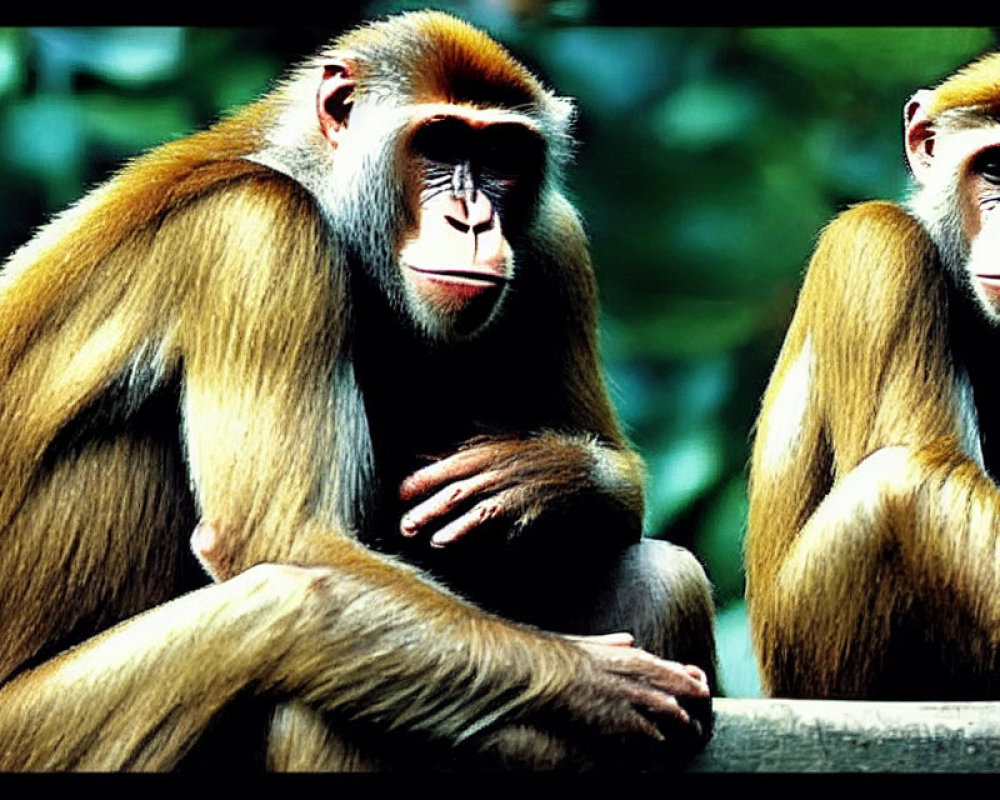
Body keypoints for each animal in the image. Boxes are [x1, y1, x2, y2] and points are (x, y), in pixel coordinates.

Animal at [0, 12, 720, 772]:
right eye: (441, 144)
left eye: (501, 156)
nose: (473, 219)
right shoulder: (262, 231)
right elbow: (280, 541)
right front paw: (591, 683)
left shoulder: (555, 236)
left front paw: (542, 478)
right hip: (35, 729)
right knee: (291, 621)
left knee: (661, 575)